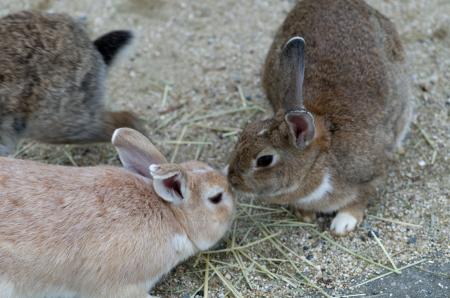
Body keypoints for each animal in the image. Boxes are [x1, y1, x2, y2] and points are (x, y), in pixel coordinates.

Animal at [227, 0, 414, 235]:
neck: (318, 161)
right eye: (245, 132)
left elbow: (361, 198)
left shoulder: (371, 175)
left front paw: (343, 223)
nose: (231, 179)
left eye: (264, 160)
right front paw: (305, 214)